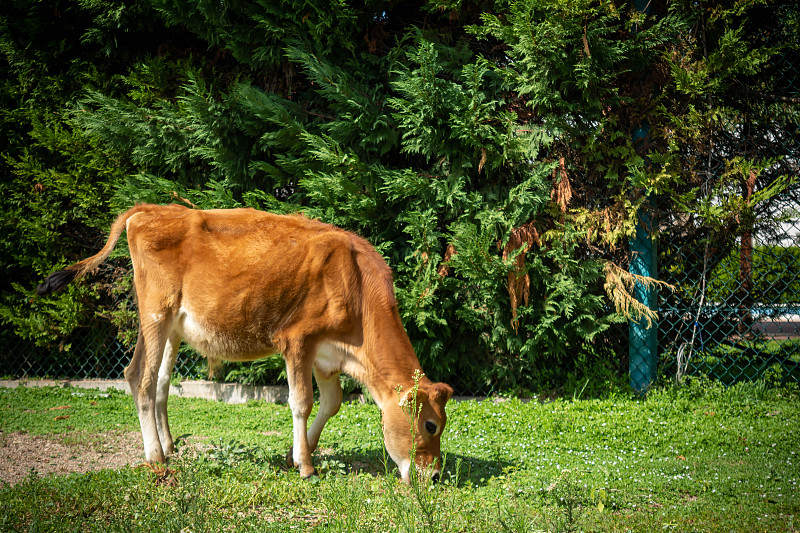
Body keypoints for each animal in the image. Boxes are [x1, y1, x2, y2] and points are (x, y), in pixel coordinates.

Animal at [37, 204, 454, 482]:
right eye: (431, 425)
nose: (434, 477)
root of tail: (150, 209)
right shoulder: (298, 340)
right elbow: (302, 402)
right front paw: (305, 466)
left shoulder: (327, 354)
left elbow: (332, 403)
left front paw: (297, 454)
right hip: (155, 312)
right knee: (139, 376)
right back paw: (155, 456)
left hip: (172, 325)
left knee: (160, 383)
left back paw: (169, 446)